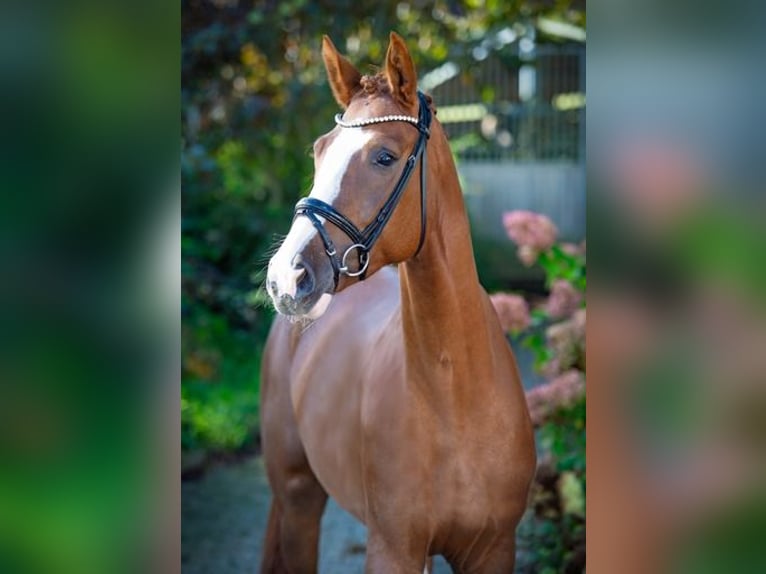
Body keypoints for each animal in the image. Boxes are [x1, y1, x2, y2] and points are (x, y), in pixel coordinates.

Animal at [260, 32, 536, 574]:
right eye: (319, 151)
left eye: (384, 157)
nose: (286, 279)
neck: (455, 398)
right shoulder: (392, 547)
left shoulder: (494, 549)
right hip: (299, 496)